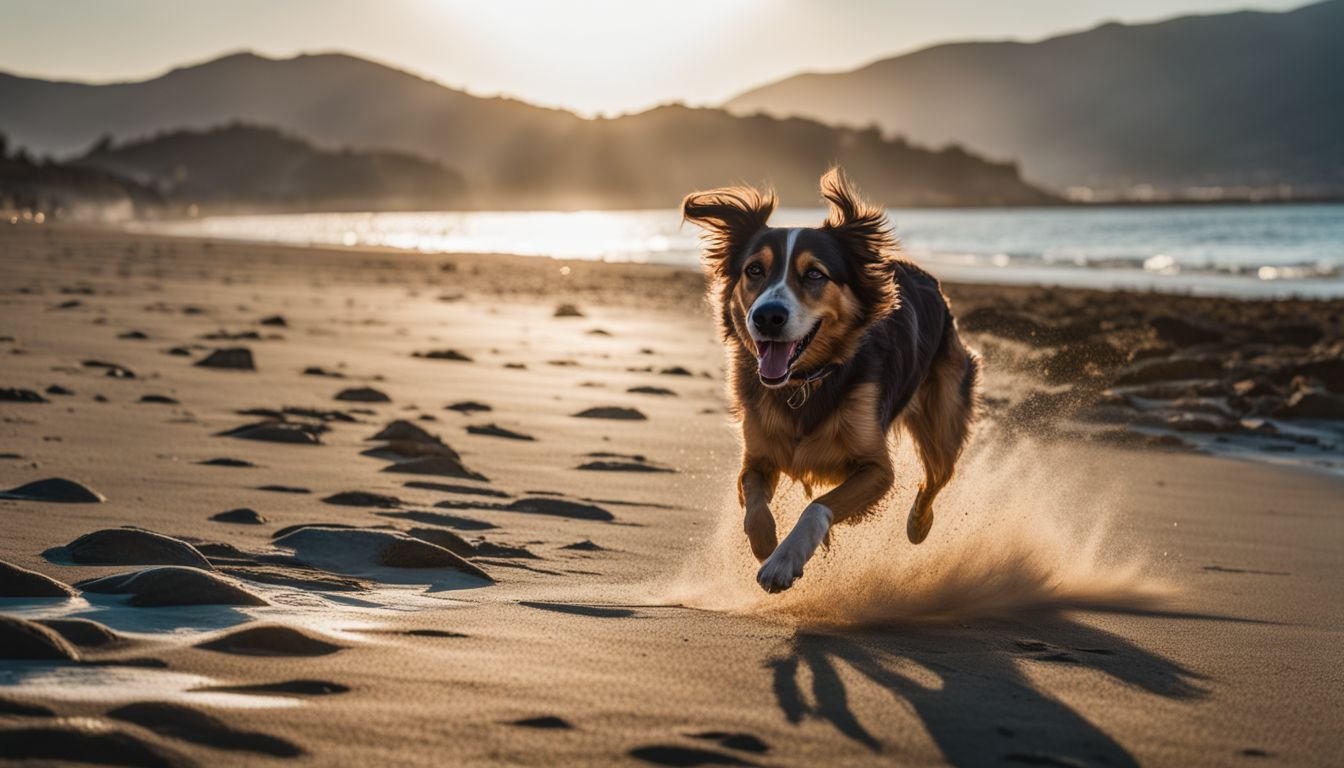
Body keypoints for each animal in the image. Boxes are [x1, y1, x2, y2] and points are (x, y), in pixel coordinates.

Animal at [682, 168, 978, 594]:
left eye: (814, 274)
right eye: (754, 270)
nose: (767, 317)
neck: (805, 382)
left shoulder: (876, 469)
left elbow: (817, 507)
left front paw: (784, 559)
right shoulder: (757, 456)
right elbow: (754, 505)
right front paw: (767, 544)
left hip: (943, 420)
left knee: (937, 476)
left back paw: (918, 524)